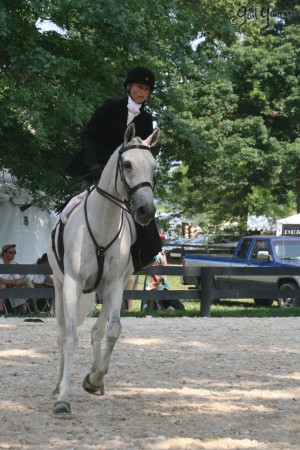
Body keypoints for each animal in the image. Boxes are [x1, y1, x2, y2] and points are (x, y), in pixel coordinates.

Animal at [47, 124, 159, 418]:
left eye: (154, 166)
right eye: (127, 164)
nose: (146, 210)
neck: (103, 222)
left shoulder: (116, 285)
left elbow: (113, 331)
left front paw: (94, 379)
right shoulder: (73, 284)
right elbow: (70, 338)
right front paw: (63, 398)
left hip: (108, 291)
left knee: (98, 329)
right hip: (60, 288)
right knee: (62, 334)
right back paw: (57, 386)